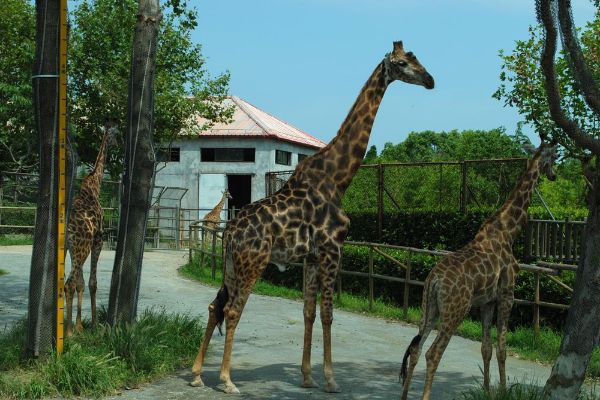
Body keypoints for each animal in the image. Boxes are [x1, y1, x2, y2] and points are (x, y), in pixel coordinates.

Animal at [190, 41, 434, 394]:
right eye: (403, 64)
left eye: (417, 59)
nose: (431, 80)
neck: (339, 177)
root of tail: (231, 232)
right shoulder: (333, 249)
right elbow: (329, 313)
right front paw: (331, 379)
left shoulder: (311, 257)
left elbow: (308, 311)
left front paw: (306, 376)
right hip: (253, 263)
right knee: (233, 310)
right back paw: (226, 380)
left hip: (231, 266)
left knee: (215, 307)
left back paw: (196, 374)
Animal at [400, 142, 560, 398]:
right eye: (554, 156)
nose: (554, 175)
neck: (508, 231)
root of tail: (434, 280)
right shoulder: (507, 295)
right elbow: (502, 347)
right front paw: (503, 390)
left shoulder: (487, 301)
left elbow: (486, 347)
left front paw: (487, 390)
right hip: (457, 309)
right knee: (433, 353)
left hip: (429, 308)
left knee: (415, 348)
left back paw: (404, 395)